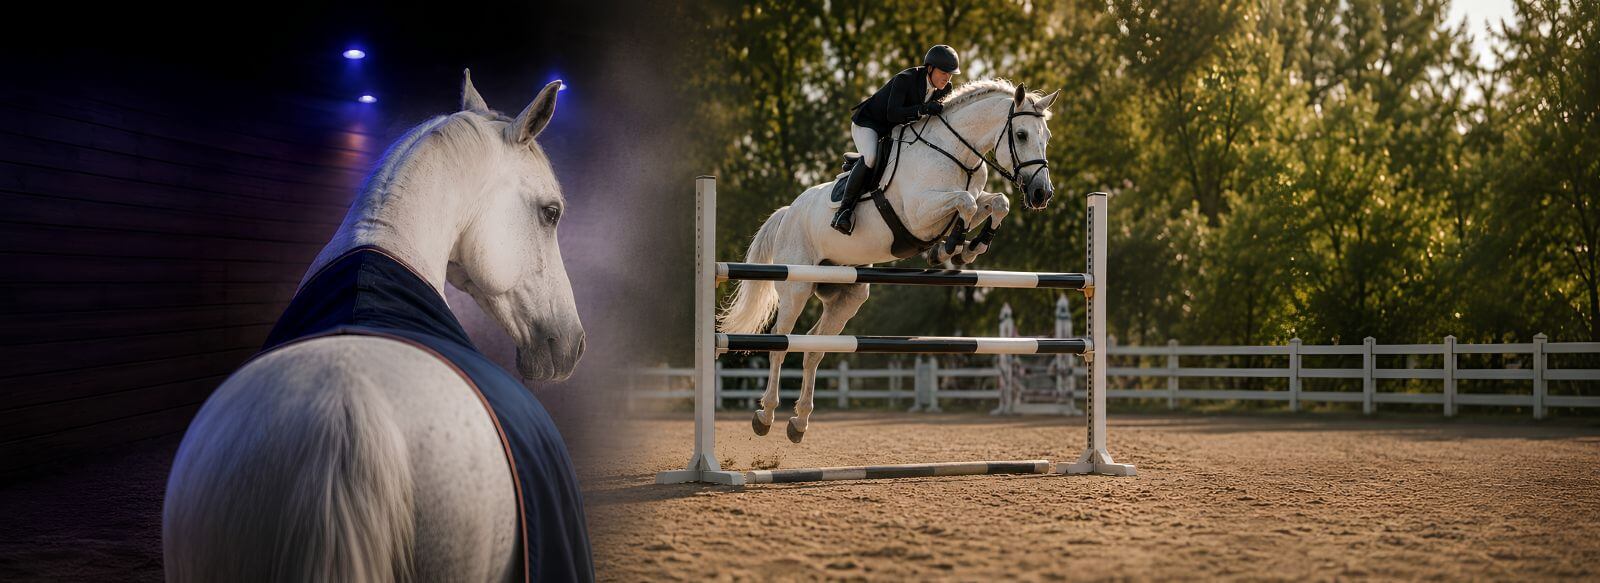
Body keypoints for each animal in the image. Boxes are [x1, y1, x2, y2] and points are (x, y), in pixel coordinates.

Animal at [721, 79, 1061, 443]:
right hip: (797, 286)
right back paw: (765, 415)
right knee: (780, 343)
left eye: (1046, 137)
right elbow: (966, 203)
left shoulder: (963, 200)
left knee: (814, 348)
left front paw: (967, 248)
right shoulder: (919, 212)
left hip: (847, 294)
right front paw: (951, 247)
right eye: (1022, 135)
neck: (957, 152)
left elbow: (997, 202)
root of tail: (788, 212)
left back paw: (799, 422)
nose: (1041, 194)